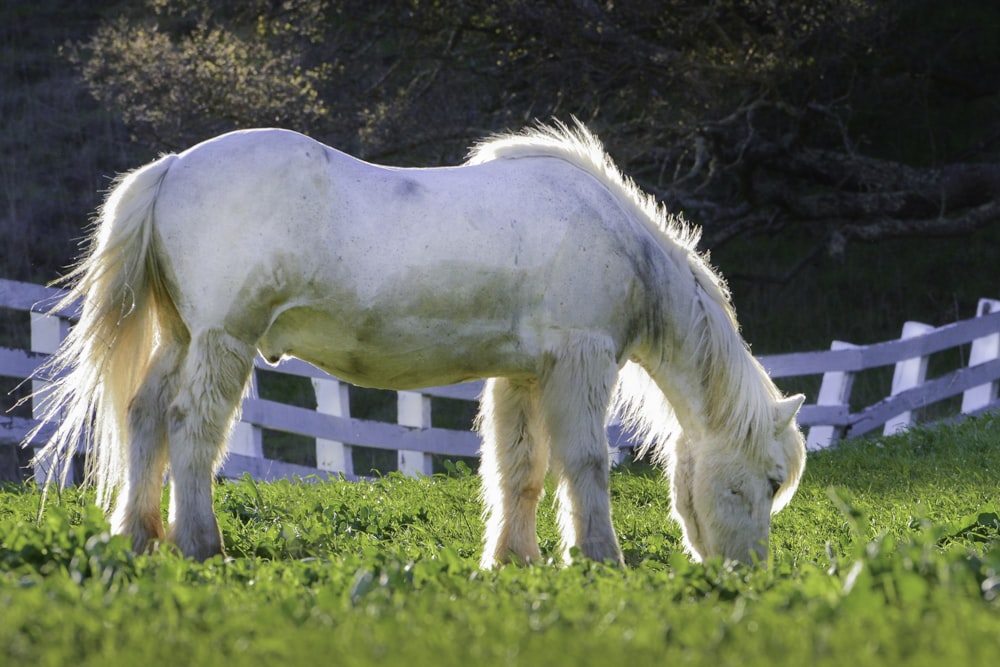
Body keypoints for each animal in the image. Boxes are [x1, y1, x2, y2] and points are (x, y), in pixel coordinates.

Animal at [27, 118, 808, 564]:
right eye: (771, 480)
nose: (748, 574)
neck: (613, 236)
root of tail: (172, 167)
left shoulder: (525, 375)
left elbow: (520, 469)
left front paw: (515, 560)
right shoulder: (578, 363)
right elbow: (585, 463)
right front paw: (598, 558)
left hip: (184, 338)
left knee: (145, 417)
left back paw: (137, 538)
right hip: (223, 341)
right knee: (190, 428)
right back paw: (199, 545)